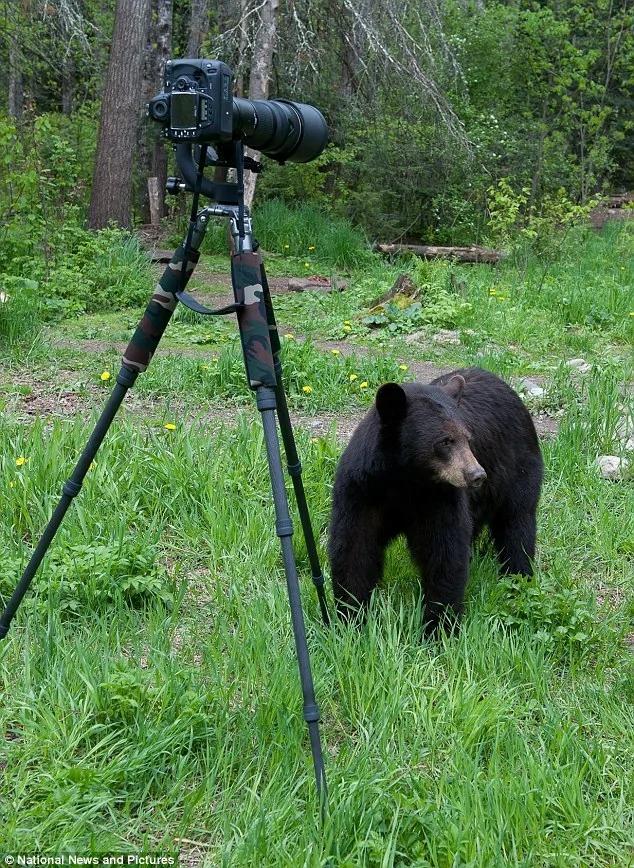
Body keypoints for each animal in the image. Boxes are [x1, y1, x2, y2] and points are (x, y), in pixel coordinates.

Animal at [328, 367, 544, 634]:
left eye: (468, 439)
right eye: (445, 441)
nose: (477, 475)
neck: (403, 480)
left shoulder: (439, 498)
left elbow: (444, 552)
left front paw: (438, 628)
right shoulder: (361, 491)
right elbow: (354, 548)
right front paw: (350, 619)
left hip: (517, 469)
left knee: (517, 523)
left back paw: (518, 578)